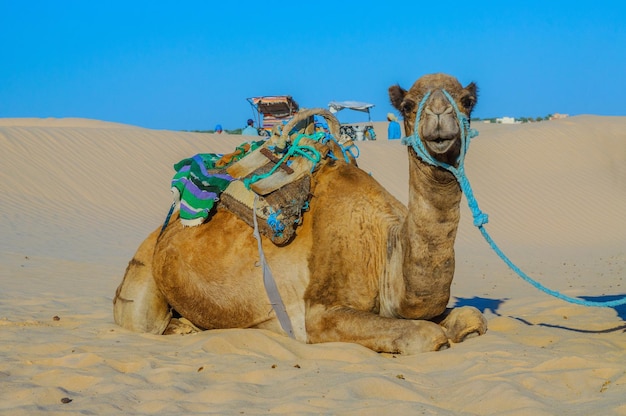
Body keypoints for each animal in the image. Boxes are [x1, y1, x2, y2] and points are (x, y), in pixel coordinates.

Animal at [116, 73, 488, 352]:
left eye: (467, 101)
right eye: (409, 105)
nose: (439, 118)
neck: (384, 250)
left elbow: (472, 317)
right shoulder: (317, 316)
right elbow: (427, 335)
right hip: (143, 270)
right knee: (142, 320)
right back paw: (183, 328)